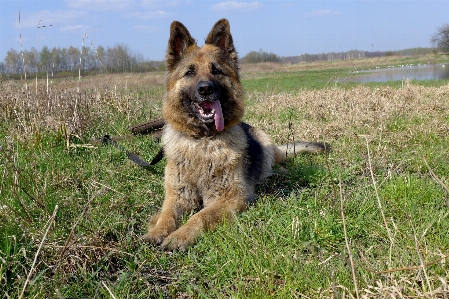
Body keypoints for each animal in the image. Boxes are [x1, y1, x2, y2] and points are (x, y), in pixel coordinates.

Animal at [142, 17, 328, 250]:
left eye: (216, 71)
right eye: (190, 72)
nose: (205, 89)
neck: (203, 141)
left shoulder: (229, 198)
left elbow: (200, 216)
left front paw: (180, 236)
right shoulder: (177, 196)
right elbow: (166, 215)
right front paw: (156, 231)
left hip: (265, 146)